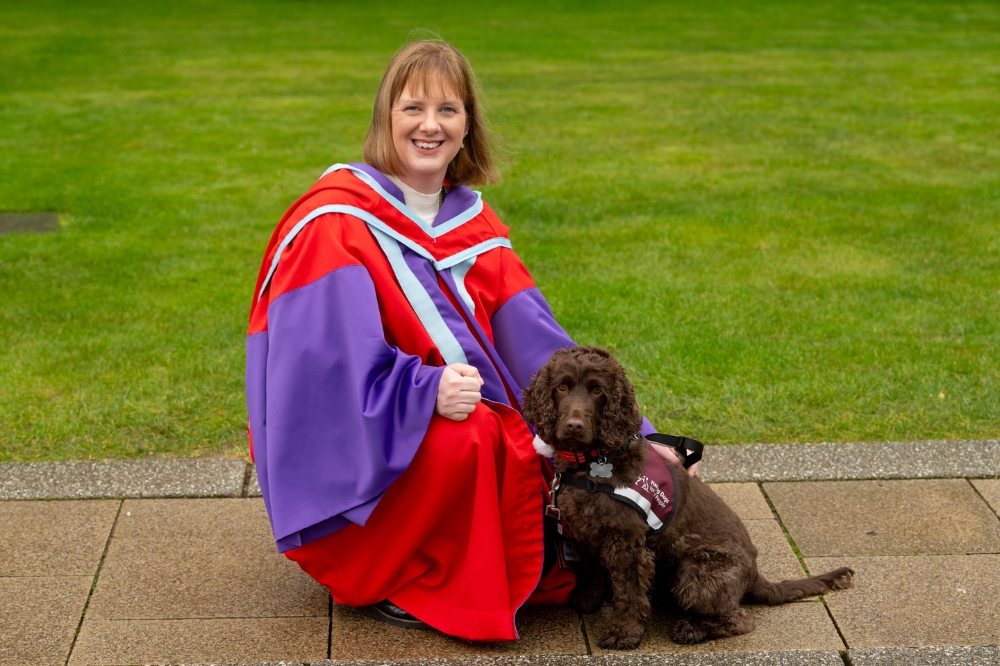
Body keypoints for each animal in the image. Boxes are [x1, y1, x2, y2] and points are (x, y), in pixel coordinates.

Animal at [520, 344, 856, 644]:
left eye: (597, 391)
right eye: (562, 386)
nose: (574, 425)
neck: (592, 461)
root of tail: (755, 575)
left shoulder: (628, 543)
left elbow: (629, 593)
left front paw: (623, 634)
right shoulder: (587, 534)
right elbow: (592, 571)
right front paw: (587, 602)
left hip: (697, 572)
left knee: (740, 619)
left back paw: (691, 629)